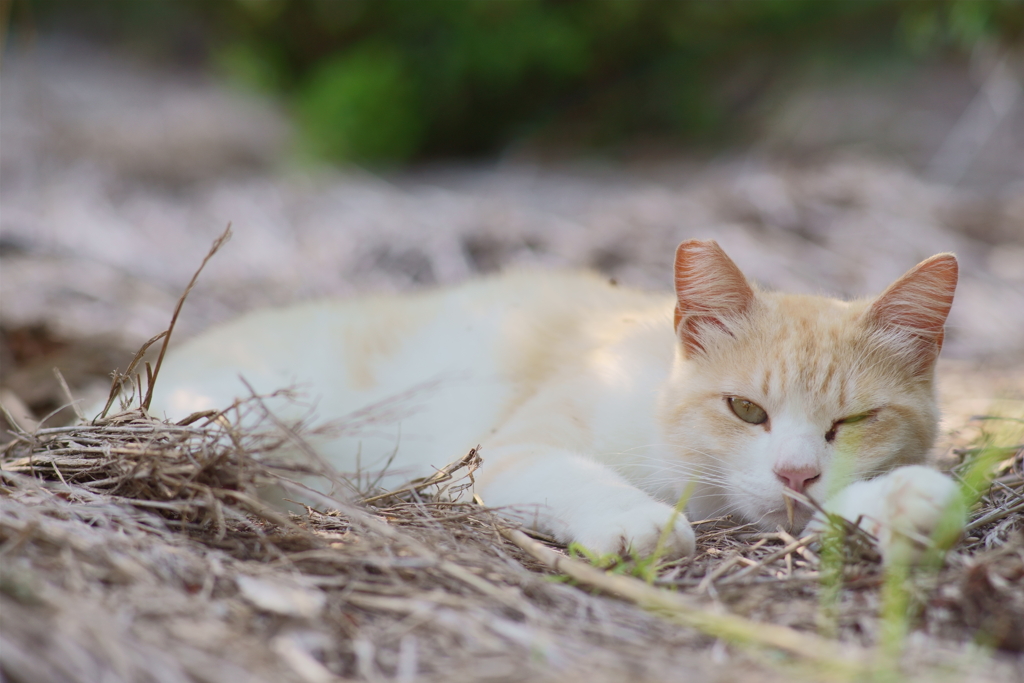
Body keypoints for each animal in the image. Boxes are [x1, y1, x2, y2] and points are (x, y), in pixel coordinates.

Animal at [148, 241, 962, 565]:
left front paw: (900, 499)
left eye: (853, 422)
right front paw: (637, 521)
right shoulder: (505, 452)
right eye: (745, 409)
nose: (796, 476)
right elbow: (570, 473)